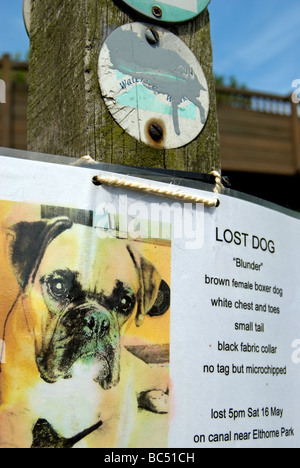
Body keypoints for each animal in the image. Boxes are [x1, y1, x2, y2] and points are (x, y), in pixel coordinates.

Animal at [0, 218, 170, 448]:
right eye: (58, 286)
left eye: (125, 302)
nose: (97, 321)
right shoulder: (13, 416)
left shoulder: (115, 418)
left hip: (149, 375)